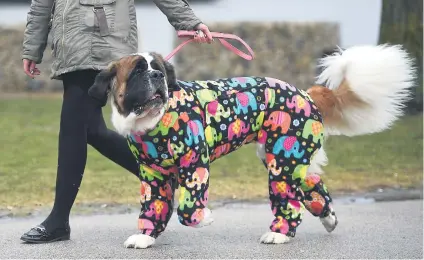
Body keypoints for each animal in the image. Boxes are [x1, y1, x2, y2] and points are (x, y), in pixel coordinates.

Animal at [88, 44, 416, 248]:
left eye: (157, 69)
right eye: (137, 72)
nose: (157, 76)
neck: (153, 122)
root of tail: (305, 93)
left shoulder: (195, 165)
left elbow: (188, 206)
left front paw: (203, 218)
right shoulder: (153, 176)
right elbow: (153, 206)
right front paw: (145, 236)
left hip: (283, 158)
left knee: (290, 199)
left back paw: (279, 234)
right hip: (284, 155)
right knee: (311, 180)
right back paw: (328, 217)